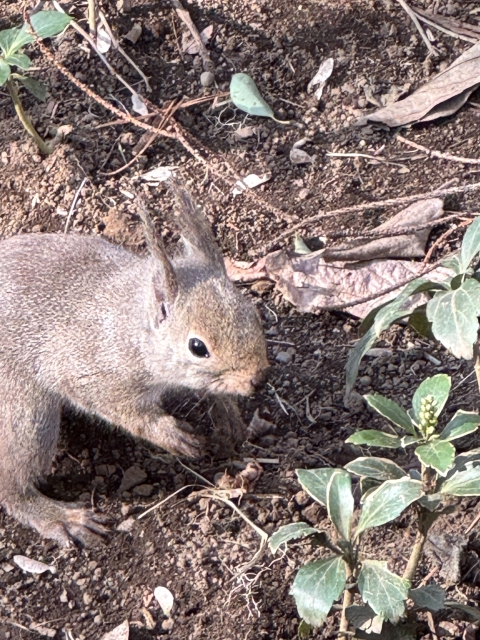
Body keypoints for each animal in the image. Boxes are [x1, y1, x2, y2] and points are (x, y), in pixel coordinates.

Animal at [0, 182, 268, 547]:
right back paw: (58, 516)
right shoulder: (89, 369)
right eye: (197, 347)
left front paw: (227, 414)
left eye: (253, 313)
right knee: (12, 484)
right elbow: (127, 413)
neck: (132, 328)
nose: (258, 378)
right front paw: (171, 434)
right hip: (25, 414)